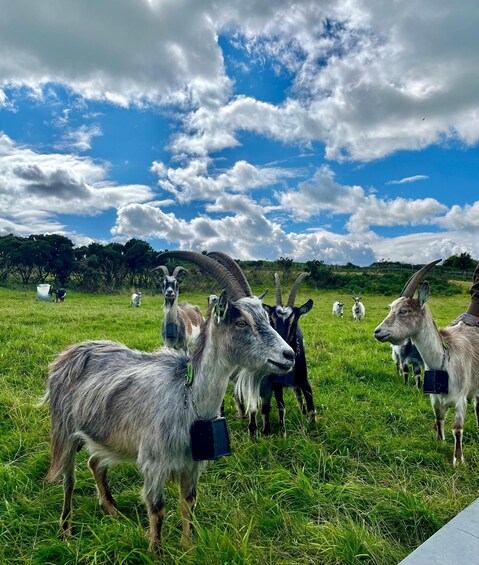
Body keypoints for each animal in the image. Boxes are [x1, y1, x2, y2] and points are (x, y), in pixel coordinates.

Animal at [42, 250, 296, 552]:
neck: (187, 398)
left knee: (95, 464)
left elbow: (188, 503)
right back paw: (66, 529)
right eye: (241, 322)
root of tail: (65, 355)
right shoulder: (154, 462)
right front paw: (156, 551)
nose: (289, 355)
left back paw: (112, 510)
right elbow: (157, 509)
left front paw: (188, 547)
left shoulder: (192, 464)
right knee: (68, 480)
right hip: (65, 430)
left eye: (266, 318)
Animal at [232, 268, 316, 436]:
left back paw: (302, 412)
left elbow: (311, 405)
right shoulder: (276, 384)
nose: (285, 353)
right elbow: (281, 407)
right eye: (272, 320)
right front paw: (283, 434)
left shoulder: (303, 379)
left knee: (298, 394)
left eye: (295, 320)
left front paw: (314, 428)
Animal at [376, 258, 479, 462]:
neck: (444, 361)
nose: (378, 331)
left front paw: (458, 460)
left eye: (404, 311)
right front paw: (439, 443)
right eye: (391, 308)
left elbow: (457, 429)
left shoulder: (460, 399)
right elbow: (439, 419)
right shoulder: (435, 398)